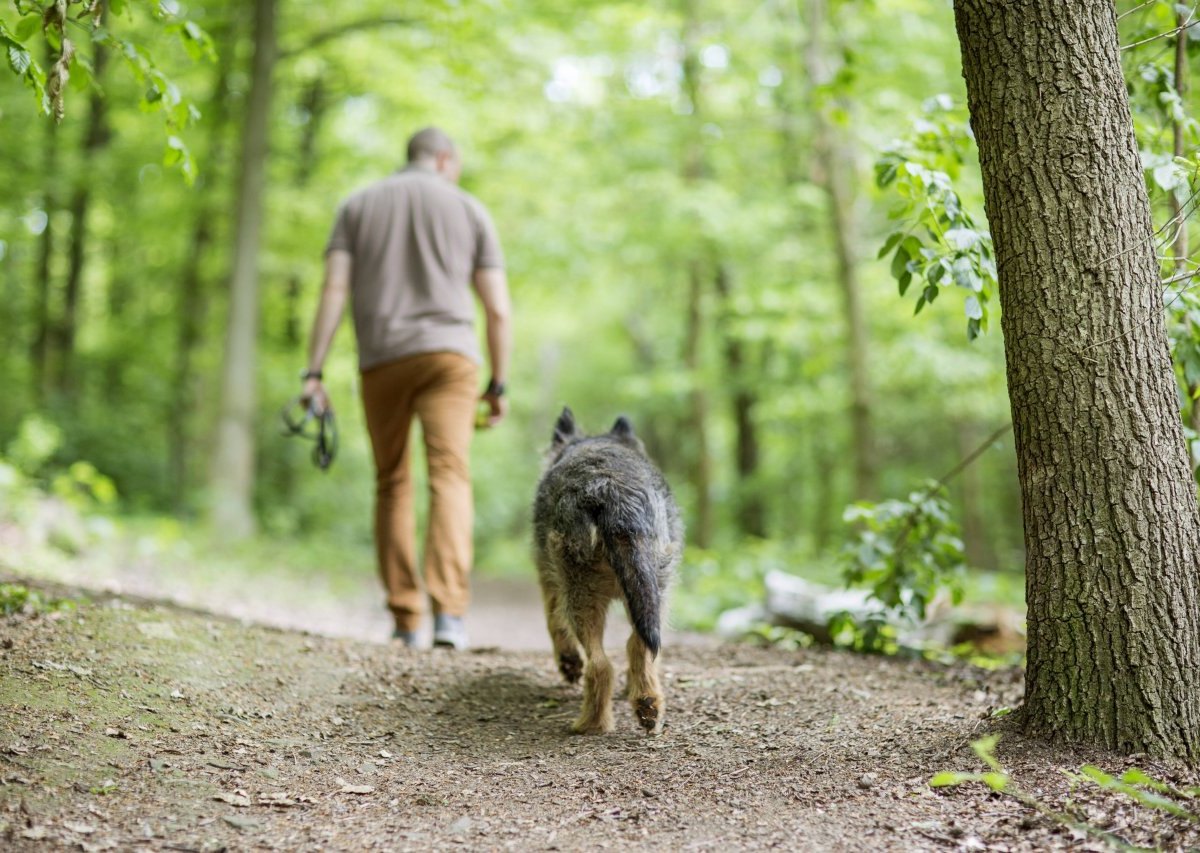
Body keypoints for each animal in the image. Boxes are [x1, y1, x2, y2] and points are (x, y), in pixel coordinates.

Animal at [535, 407, 686, 734]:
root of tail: (612, 490)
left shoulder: (549, 580)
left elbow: (553, 623)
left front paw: (568, 662)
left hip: (578, 593)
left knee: (599, 665)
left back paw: (590, 724)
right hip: (655, 588)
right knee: (637, 649)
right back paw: (646, 704)